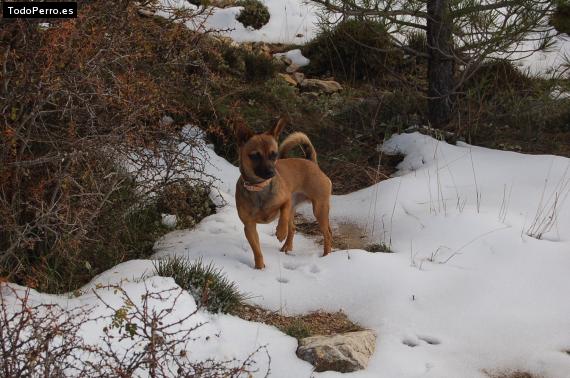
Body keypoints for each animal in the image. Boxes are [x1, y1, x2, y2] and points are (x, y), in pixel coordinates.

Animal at [234, 118, 332, 268]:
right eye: (255, 156)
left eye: (274, 154)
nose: (271, 172)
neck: (259, 187)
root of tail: (312, 163)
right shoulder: (249, 227)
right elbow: (257, 250)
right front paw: (259, 267)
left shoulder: (286, 201)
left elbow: (283, 216)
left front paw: (280, 232)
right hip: (304, 209)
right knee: (294, 228)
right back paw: (287, 247)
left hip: (319, 209)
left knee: (326, 233)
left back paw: (326, 255)